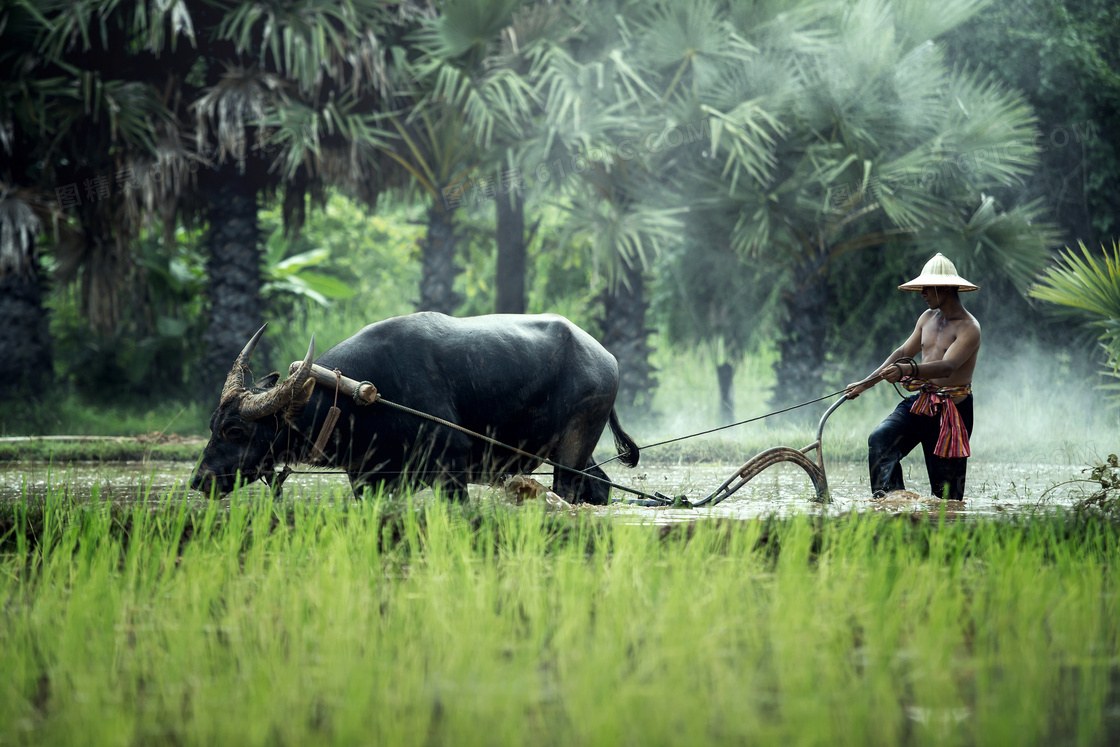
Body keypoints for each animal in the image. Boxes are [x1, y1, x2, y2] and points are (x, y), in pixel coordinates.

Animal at [192, 313, 640, 506]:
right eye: (212, 425)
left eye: (235, 430)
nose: (199, 480)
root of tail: (607, 358)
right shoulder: (369, 479)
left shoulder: (451, 468)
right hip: (569, 449)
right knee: (597, 487)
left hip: (574, 443)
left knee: (569, 490)